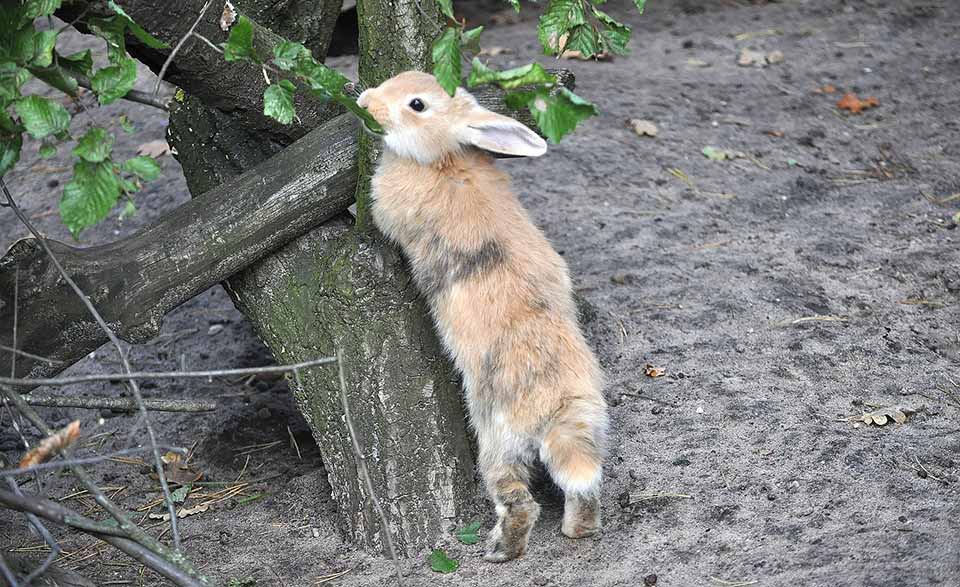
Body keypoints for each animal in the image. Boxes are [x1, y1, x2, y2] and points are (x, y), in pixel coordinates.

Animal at [360, 71, 608, 564]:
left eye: (417, 104)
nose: (365, 101)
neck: (444, 158)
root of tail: (559, 404)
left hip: (497, 441)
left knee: (520, 503)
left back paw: (500, 551)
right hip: (587, 429)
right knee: (583, 486)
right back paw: (577, 530)